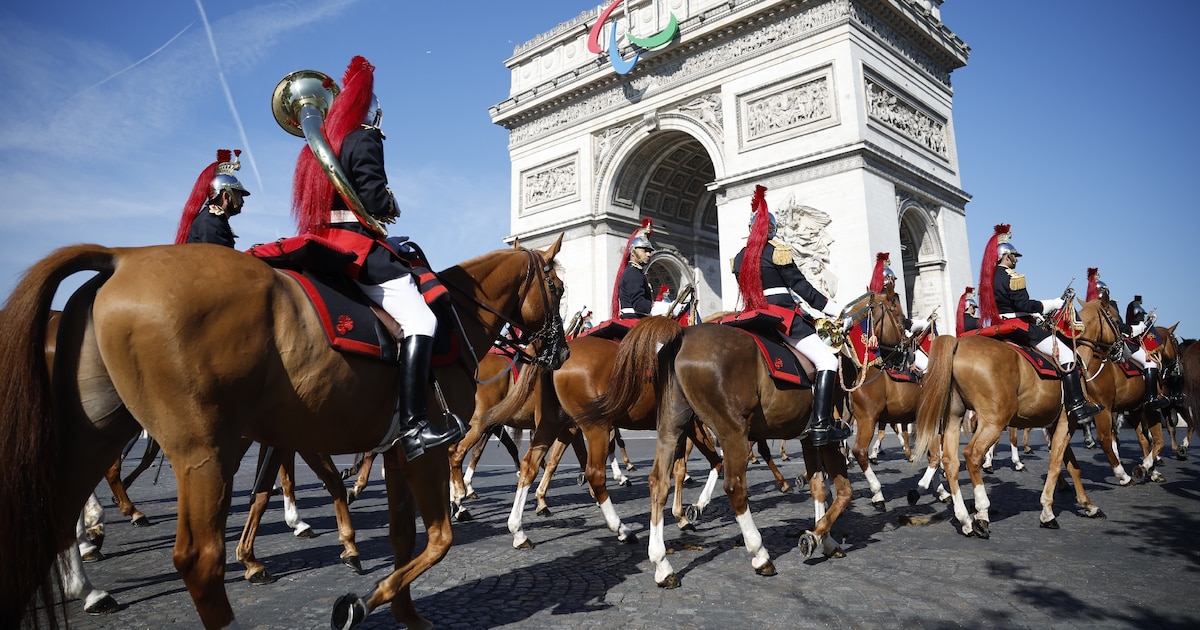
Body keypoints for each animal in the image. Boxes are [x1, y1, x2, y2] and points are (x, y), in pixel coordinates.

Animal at [0, 237, 566, 628]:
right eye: (557, 287)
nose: (558, 352)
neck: (452, 319)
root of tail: (123, 257)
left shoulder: (393, 452)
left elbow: (403, 537)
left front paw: (402, 610)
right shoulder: (421, 450)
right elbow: (440, 537)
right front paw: (361, 593)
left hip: (95, 438)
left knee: (49, 518)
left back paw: (90, 578)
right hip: (205, 452)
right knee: (198, 560)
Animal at [916, 300, 1104, 535]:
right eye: (1115, 318)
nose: (1122, 349)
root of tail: (957, 345)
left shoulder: (1056, 425)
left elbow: (1072, 465)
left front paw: (1088, 505)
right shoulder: (1065, 421)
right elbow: (1055, 462)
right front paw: (1047, 512)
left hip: (954, 417)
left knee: (950, 461)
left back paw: (965, 519)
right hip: (994, 421)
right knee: (972, 454)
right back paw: (981, 512)